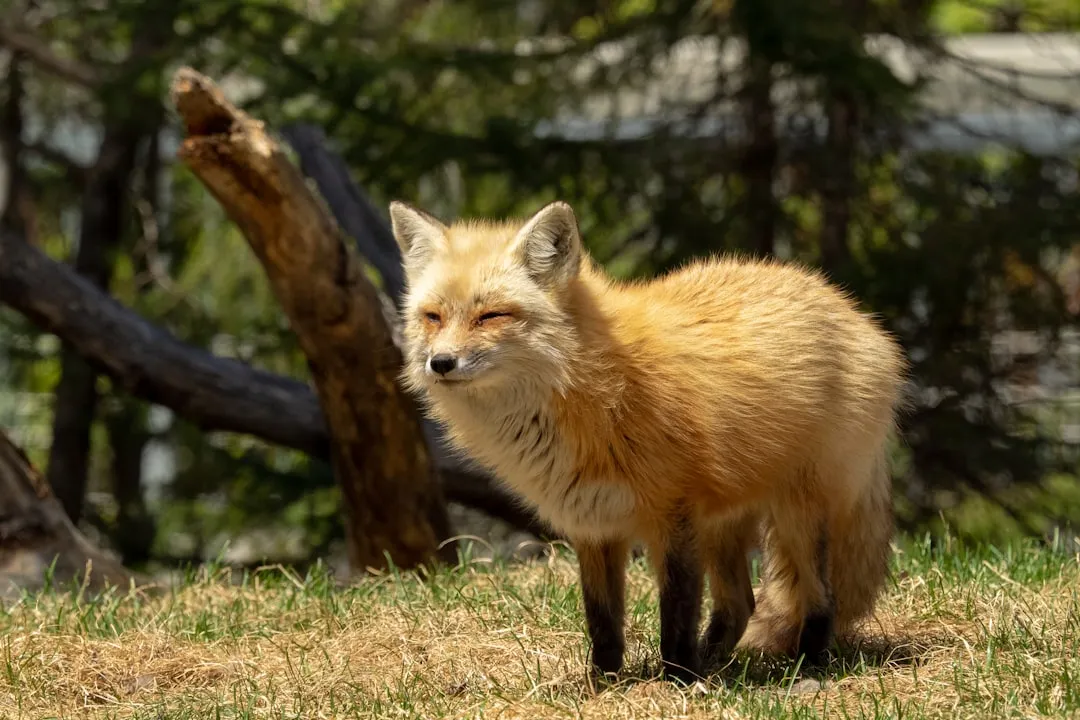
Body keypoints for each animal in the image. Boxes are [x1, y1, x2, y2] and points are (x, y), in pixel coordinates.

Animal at [388, 199, 906, 683]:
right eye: (433, 317)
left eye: (491, 315)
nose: (441, 363)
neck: (593, 387)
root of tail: (850, 310)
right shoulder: (592, 523)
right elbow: (602, 623)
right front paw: (604, 686)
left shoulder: (673, 516)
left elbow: (675, 615)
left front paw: (677, 681)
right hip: (723, 525)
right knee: (740, 604)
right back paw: (717, 663)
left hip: (796, 512)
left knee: (821, 598)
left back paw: (808, 668)